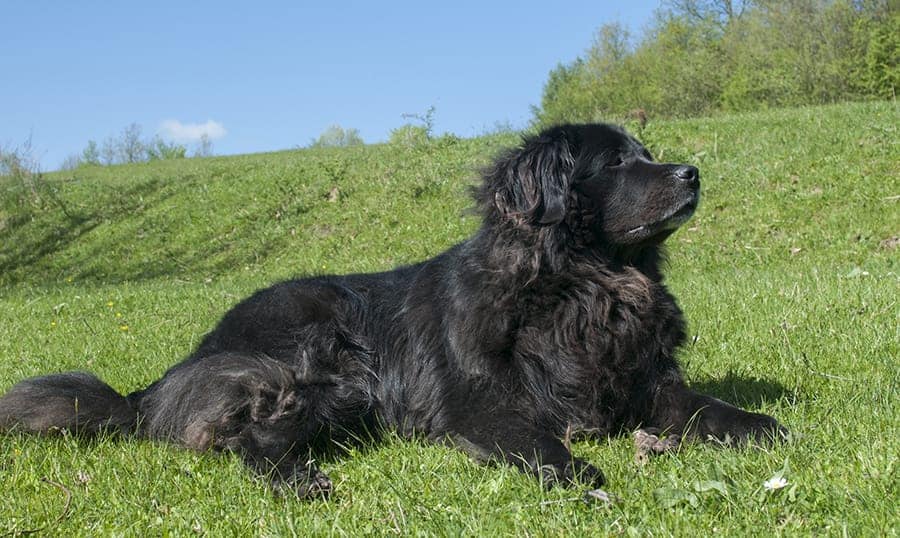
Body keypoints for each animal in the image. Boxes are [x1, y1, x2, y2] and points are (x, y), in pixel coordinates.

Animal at [0, 123, 784, 496]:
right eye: (618, 162)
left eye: (648, 153)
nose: (692, 172)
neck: (582, 288)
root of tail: (178, 367)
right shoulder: (480, 404)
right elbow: (539, 443)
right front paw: (578, 474)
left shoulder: (645, 383)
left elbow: (703, 406)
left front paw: (760, 426)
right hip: (326, 359)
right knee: (248, 435)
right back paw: (302, 482)